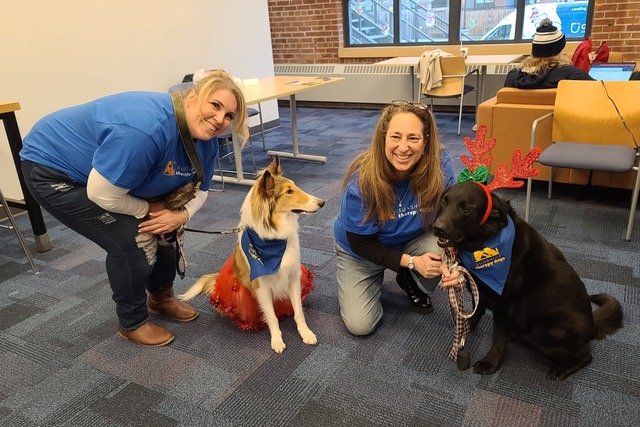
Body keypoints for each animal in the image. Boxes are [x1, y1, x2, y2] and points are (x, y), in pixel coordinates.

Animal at [179, 158, 320, 354]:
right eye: (289, 191)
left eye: (294, 186)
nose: (322, 202)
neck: (274, 240)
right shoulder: (262, 287)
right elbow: (272, 317)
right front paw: (277, 340)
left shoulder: (293, 278)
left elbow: (298, 311)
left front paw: (306, 333)